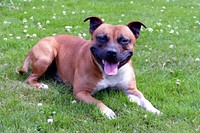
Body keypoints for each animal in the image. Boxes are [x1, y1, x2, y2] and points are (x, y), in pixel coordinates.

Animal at [19, 16, 161, 119]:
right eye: (101, 38)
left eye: (124, 40)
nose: (111, 52)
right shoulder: (81, 92)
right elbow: (98, 101)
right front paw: (107, 111)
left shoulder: (131, 90)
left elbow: (144, 100)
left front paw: (154, 109)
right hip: (47, 55)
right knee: (29, 79)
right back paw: (40, 85)